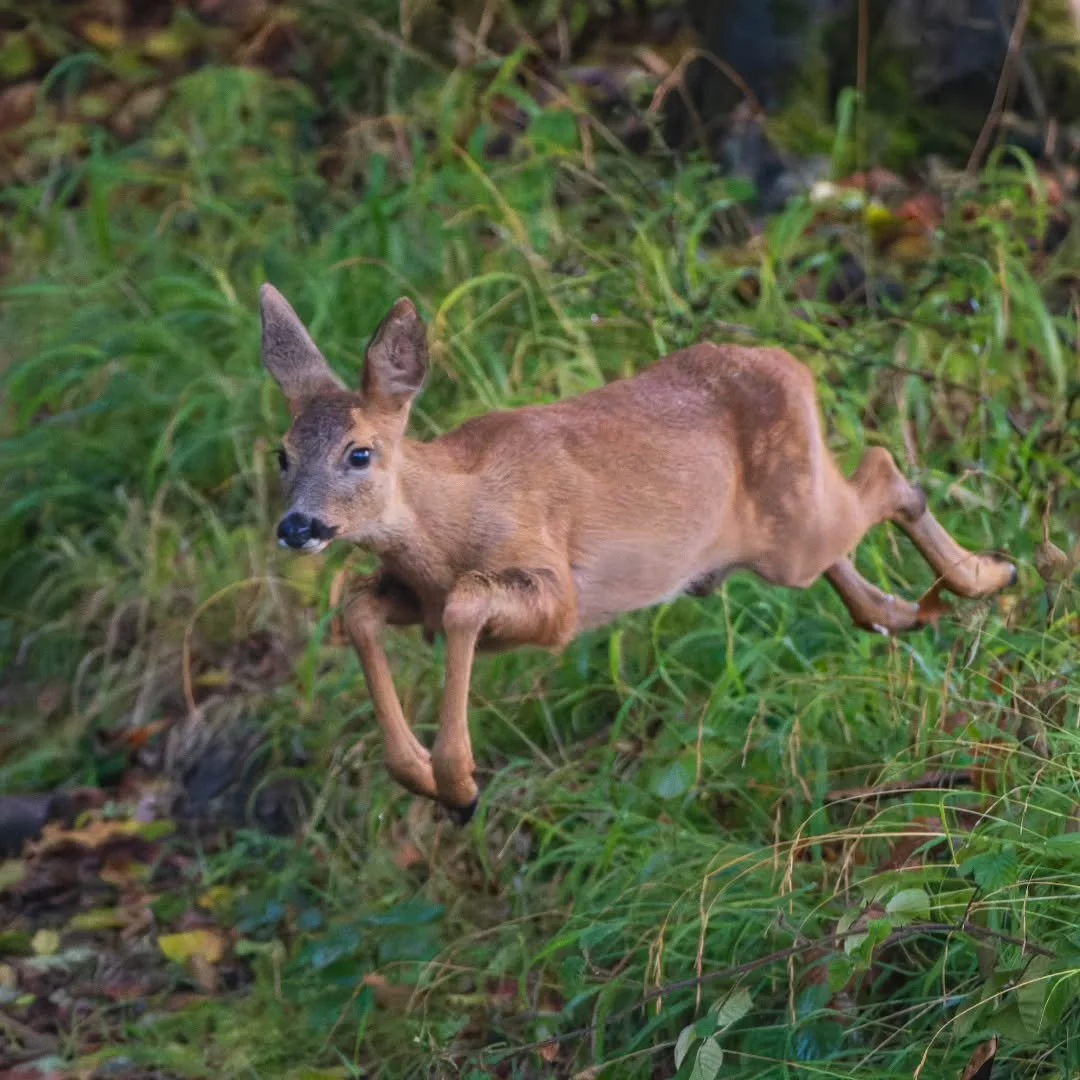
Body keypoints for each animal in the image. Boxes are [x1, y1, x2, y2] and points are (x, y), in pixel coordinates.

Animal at [259, 284, 1018, 824]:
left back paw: (990, 572)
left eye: (359, 452)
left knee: (887, 471)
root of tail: (793, 365)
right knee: (860, 550)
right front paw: (422, 775)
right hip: (794, 527)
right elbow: (359, 610)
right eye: (283, 454)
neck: (448, 528)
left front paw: (459, 782)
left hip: (796, 537)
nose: (297, 526)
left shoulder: (556, 595)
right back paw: (913, 607)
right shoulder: (407, 594)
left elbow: (467, 605)